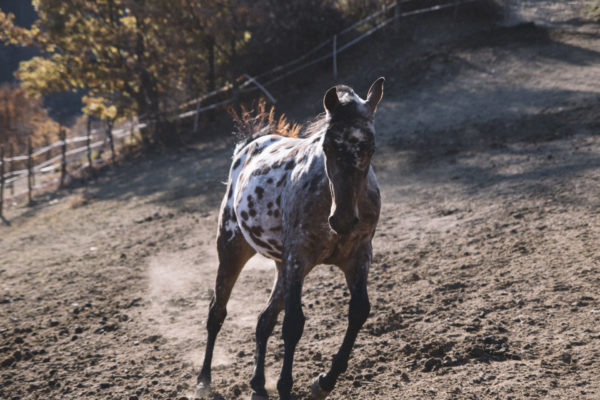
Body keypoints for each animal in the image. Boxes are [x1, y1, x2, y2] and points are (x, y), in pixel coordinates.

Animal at [197, 78, 384, 400]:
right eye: (327, 146)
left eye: (370, 147)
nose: (343, 219)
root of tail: (249, 145)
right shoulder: (299, 258)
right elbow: (294, 324)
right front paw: (287, 386)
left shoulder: (358, 256)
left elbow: (359, 311)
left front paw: (323, 382)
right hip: (232, 248)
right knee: (216, 313)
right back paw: (203, 380)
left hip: (280, 266)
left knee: (263, 321)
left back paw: (258, 386)